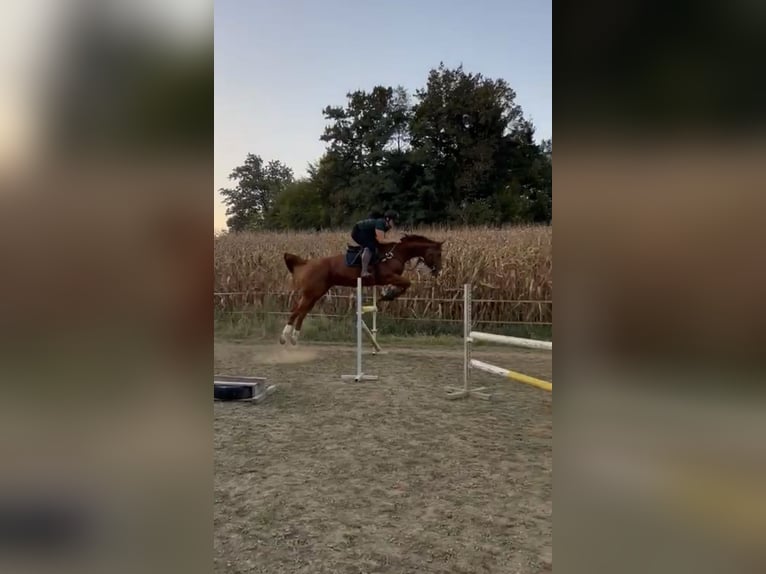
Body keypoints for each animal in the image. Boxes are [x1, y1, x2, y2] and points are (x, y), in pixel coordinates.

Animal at [279, 234, 444, 345]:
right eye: (437, 254)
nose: (439, 272)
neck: (395, 254)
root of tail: (307, 262)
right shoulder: (387, 277)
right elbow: (407, 283)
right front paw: (388, 295)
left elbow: (405, 285)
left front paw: (388, 293)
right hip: (312, 293)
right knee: (297, 311)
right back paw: (284, 337)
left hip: (315, 294)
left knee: (301, 312)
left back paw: (293, 338)